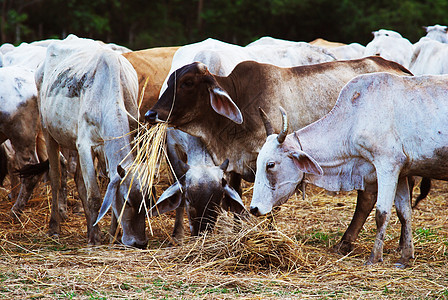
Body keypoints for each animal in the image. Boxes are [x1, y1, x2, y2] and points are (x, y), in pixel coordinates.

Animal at [35, 36, 147, 247]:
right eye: (127, 201)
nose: (140, 242)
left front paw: (111, 235)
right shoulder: (85, 145)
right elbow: (94, 195)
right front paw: (95, 238)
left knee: (79, 180)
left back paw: (90, 225)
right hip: (48, 130)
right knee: (56, 177)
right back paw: (55, 227)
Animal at [248, 71, 448, 266]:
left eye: (270, 164)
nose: (254, 208)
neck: (354, 118)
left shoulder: (387, 166)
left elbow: (381, 214)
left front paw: (374, 258)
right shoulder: (401, 172)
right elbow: (404, 213)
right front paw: (405, 257)